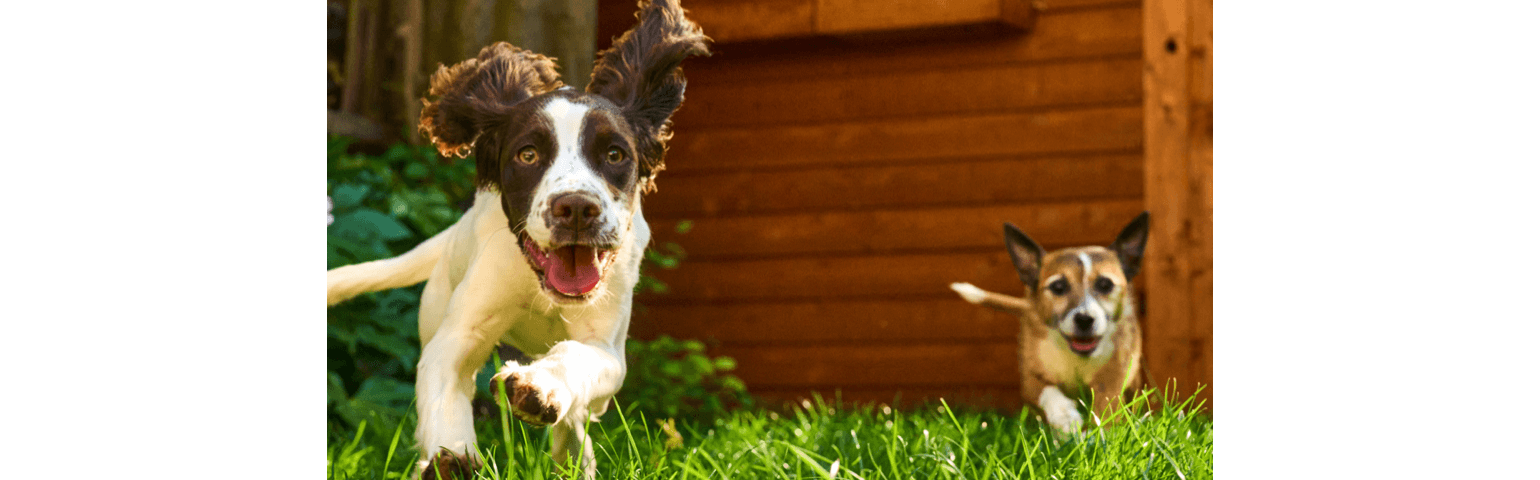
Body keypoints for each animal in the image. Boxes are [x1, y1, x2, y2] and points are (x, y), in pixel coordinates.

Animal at [942, 212, 1151, 433]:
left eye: (1105, 284)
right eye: (1058, 286)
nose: (1084, 319)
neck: (1076, 358)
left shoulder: (1114, 376)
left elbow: (1106, 407)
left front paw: (1097, 434)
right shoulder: (1030, 379)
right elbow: (1047, 392)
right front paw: (1066, 418)